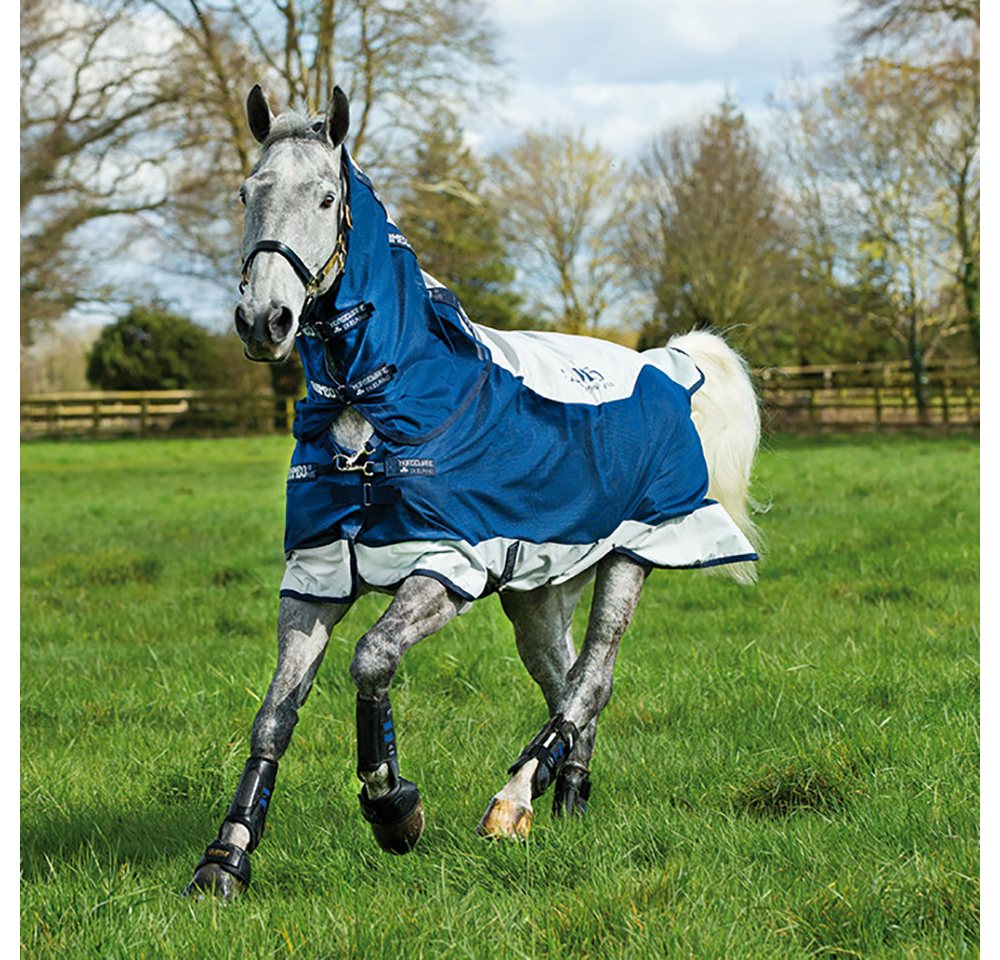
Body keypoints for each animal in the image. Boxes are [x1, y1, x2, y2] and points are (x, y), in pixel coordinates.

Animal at [185, 85, 761, 899]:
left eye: (326, 197)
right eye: (246, 193)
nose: (263, 321)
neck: (377, 404)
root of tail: (667, 366)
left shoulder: (447, 564)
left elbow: (372, 659)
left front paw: (394, 810)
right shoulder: (317, 575)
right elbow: (273, 714)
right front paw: (225, 859)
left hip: (634, 555)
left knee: (592, 678)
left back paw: (513, 800)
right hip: (539, 588)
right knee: (568, 681)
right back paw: (567, 796)